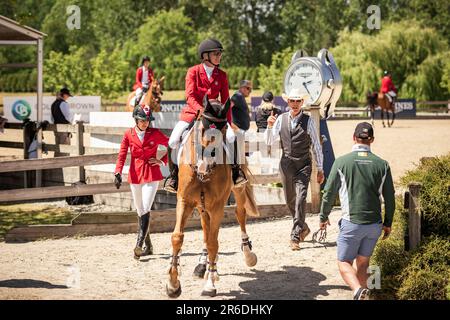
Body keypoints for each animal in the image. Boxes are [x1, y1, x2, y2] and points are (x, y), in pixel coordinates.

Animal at [165, 97, 258, 298]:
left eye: (222, 131)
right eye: (202, 128)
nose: (206, 164)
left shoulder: (217, 206)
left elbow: (214, 244)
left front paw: (210, 283)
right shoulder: (184, 201)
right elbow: (177, 237)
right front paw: (173, 284)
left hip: (236, 192)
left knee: (240, 215)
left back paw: (248, 255)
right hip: (202, 206)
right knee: (206, 230)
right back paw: (202, 265)